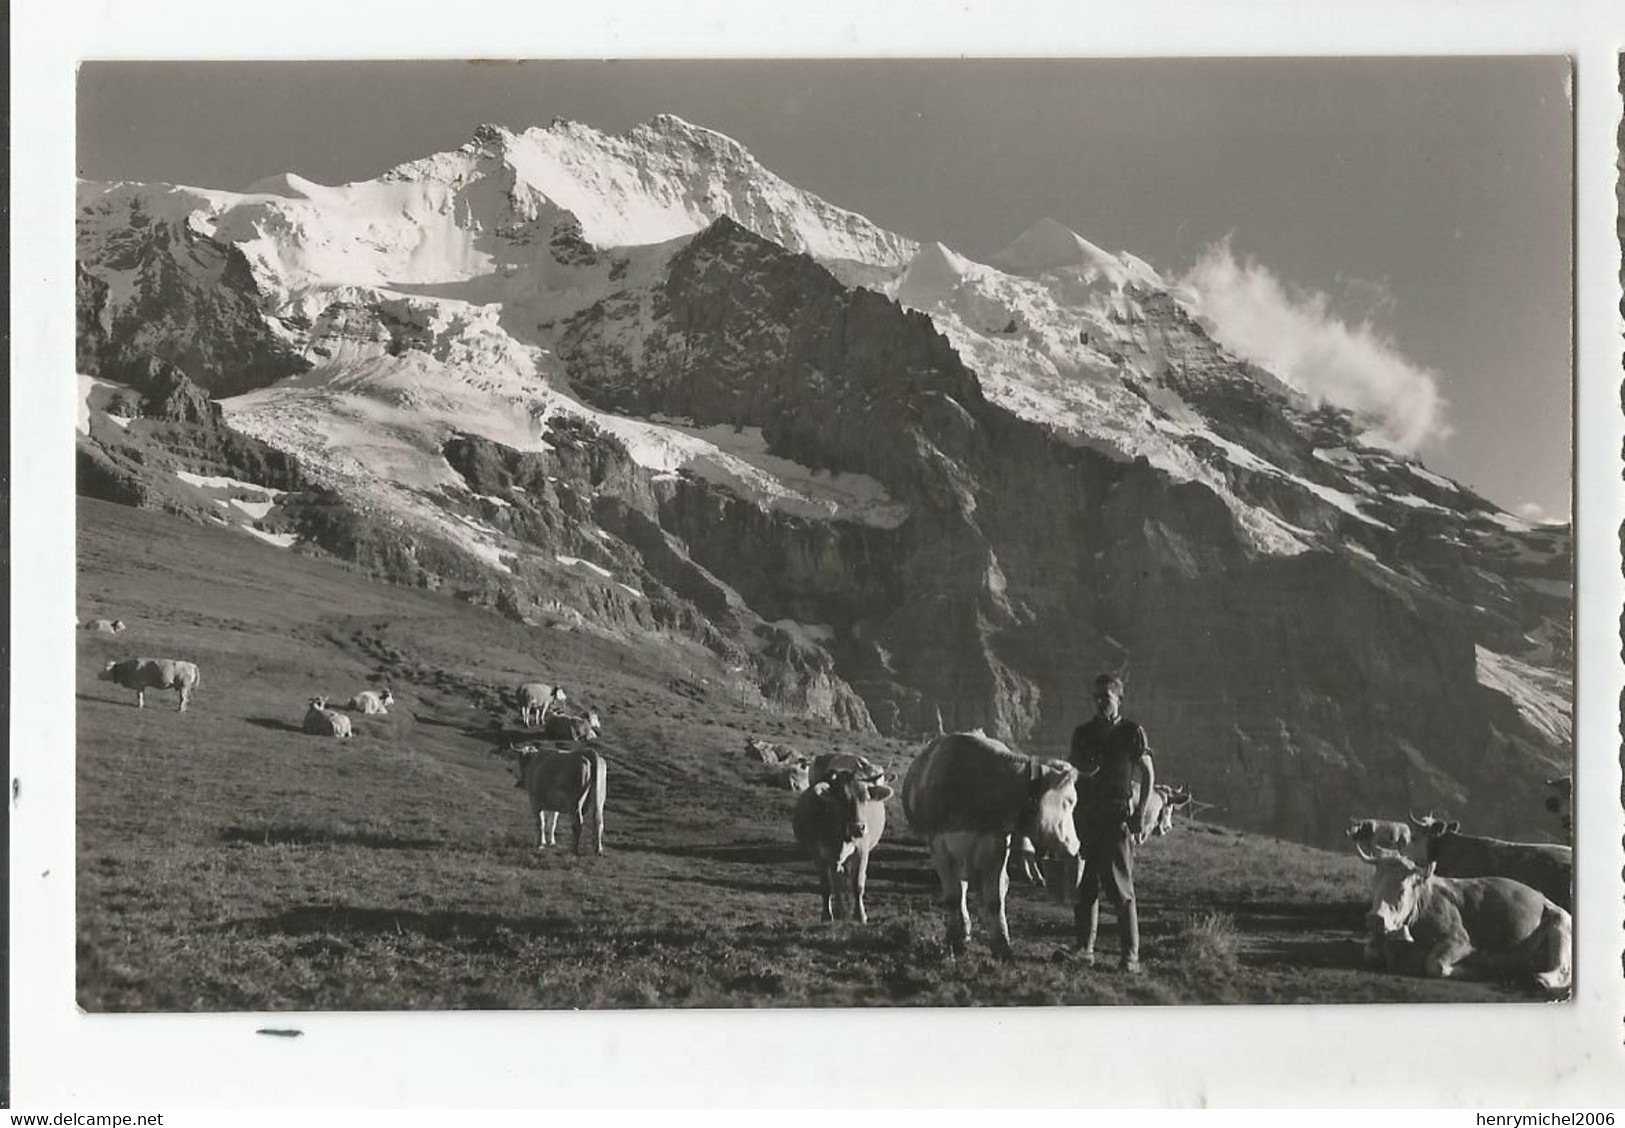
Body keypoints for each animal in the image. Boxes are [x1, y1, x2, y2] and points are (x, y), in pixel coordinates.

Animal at [793, 760, 897, 929]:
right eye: (841, 798)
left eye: (866, 798)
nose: (858, 827)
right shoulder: (818, 854)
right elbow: (827, 886)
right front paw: (827, 915)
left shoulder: (862, 851)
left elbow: (857, 884)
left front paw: (860, 916)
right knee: (837, 883)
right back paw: (840, 911)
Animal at [903, 734, 1079, 962]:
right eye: (1070, 801)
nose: (1075, 846)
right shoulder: (939, 848)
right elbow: (953, 898)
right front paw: (954, 940)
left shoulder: (996, 847)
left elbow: (995, 899)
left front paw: (1001, 945)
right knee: (961, 890)